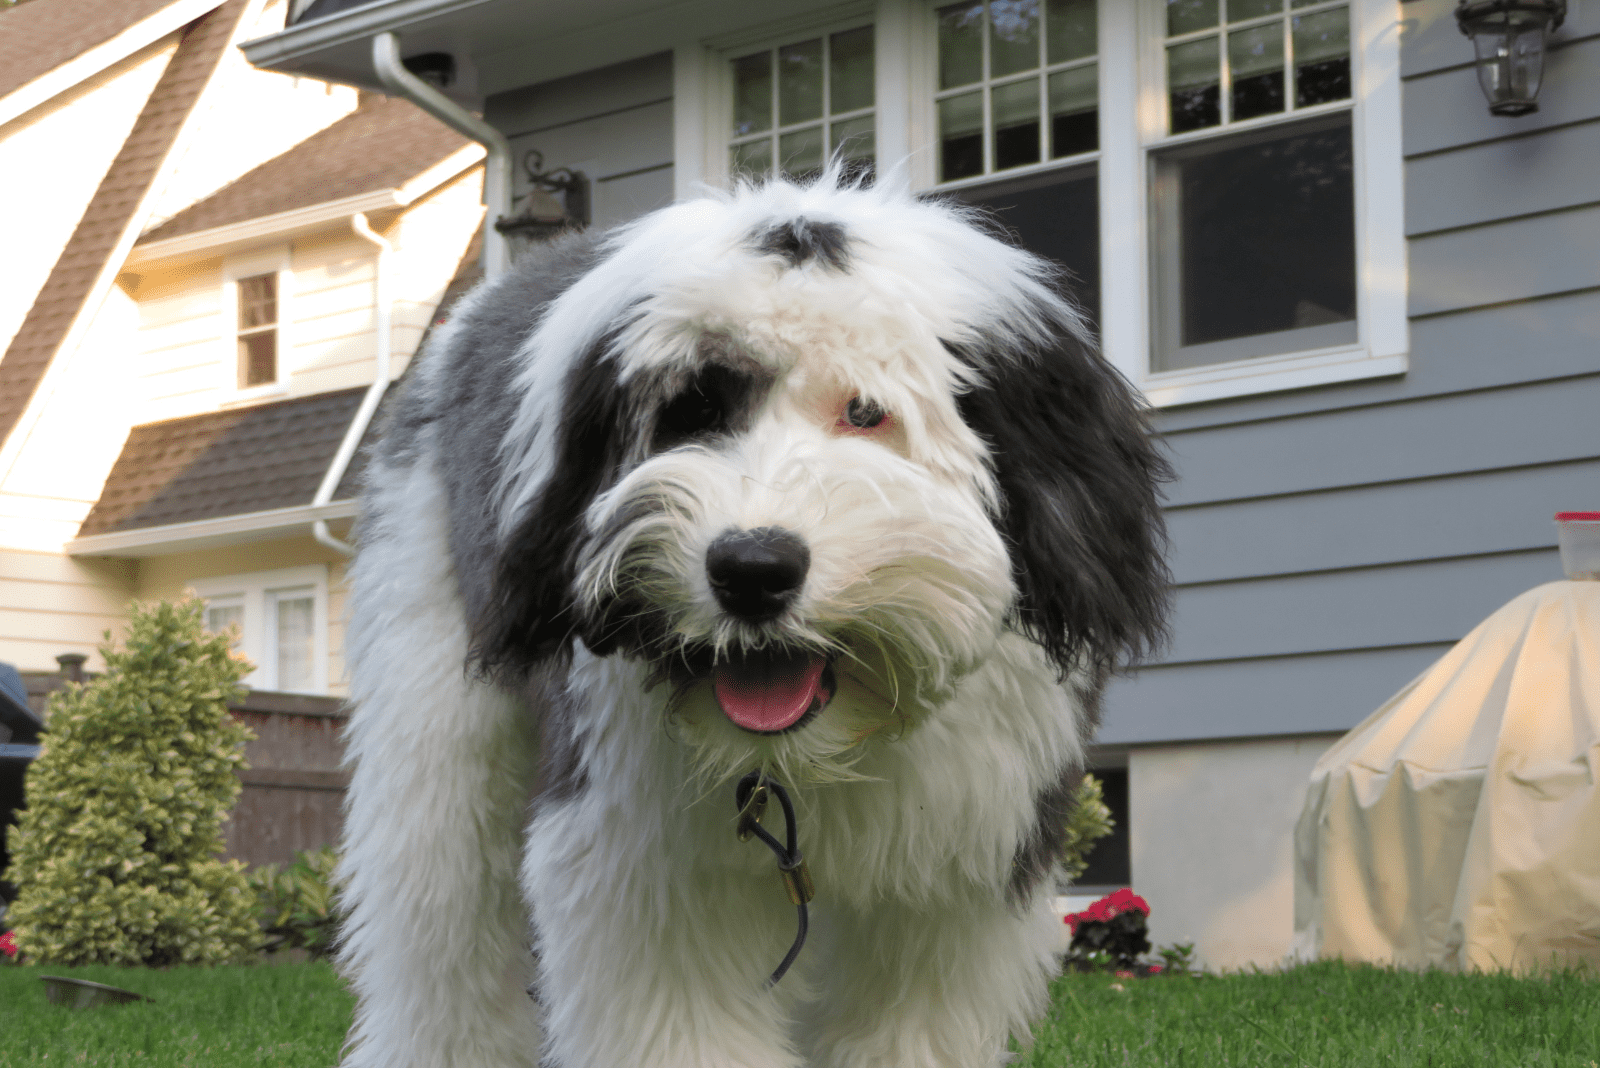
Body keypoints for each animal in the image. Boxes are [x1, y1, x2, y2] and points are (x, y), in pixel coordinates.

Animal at [337, 177, 1171, 1068]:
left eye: (866, 412)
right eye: (694, 409)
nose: (752, 570)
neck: (824, 750)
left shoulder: (959, 872)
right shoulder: (645, 867)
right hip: (433, 712)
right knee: (439, 919)